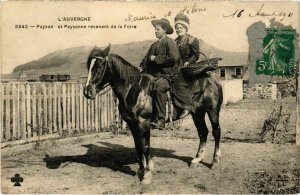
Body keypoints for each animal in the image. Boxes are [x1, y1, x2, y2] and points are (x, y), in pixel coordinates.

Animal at [84, 44, 223, 184]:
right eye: (88, 66)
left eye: (99, 65)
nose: (87, 92)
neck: (134, 90)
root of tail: (211, 78)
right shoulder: (132, 124)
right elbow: (138, 147)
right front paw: (140, 170)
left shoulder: (143, 122)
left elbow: (145, 146)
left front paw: (147, 174)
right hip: (197, 113)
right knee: (203, 132)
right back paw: (197, 159)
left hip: (212, 110)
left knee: (216, 132)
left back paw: (215, 162)